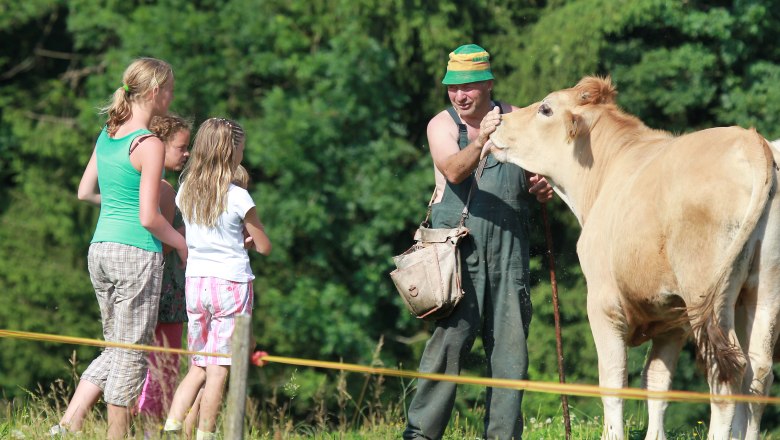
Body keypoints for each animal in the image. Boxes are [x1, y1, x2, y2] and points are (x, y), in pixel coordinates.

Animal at [488, 76, 780, 440]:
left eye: (546, 108)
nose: (497, 120)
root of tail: (751, 140)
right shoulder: (673, 319)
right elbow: (656, 382)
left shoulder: (603, 303)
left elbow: (613, 379)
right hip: (763, 290)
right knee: (758, 371)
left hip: (708, 293)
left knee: (727, 372)